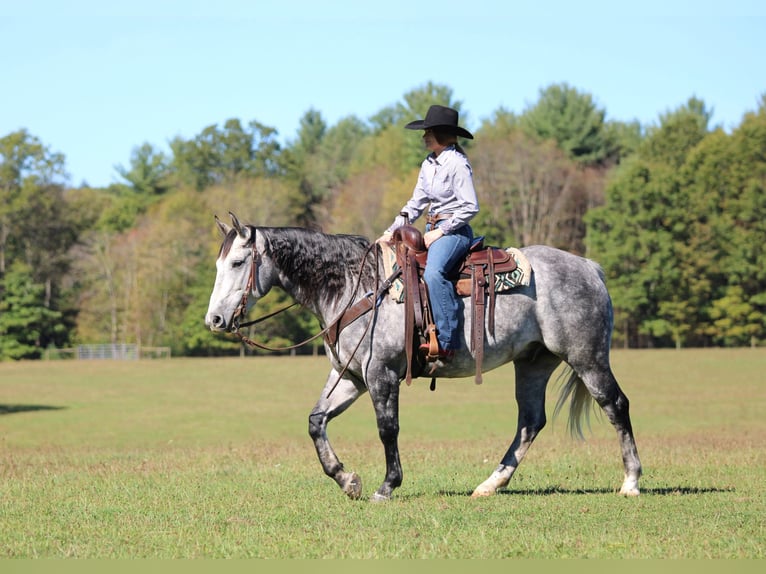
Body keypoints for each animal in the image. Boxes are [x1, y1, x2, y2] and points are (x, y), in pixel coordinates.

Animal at [205, 212, 642, 501]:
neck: (355, 286)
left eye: (238, 262)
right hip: (533, 363)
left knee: (616, 405)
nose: (215, 319)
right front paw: (346, 479)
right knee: (530, 422)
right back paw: (490, 485)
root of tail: (590, 267)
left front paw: (387, 485)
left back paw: (631, 482)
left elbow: (388, 429)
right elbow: (316, 422)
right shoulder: (351, 376)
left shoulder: (381, 375)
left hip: (587, 358)